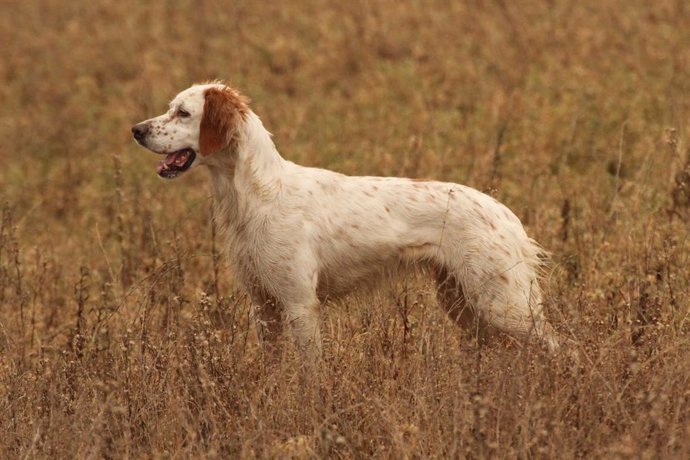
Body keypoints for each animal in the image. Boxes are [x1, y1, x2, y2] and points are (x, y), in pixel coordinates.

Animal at [130, 83, 560, 362]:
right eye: (171, 108)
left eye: (183, 112)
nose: (136, 130)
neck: (258, 195)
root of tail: (506, 214)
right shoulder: (264, 305)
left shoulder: (300, 304)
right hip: (464, 302)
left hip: (504, 305)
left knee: (558, 348)